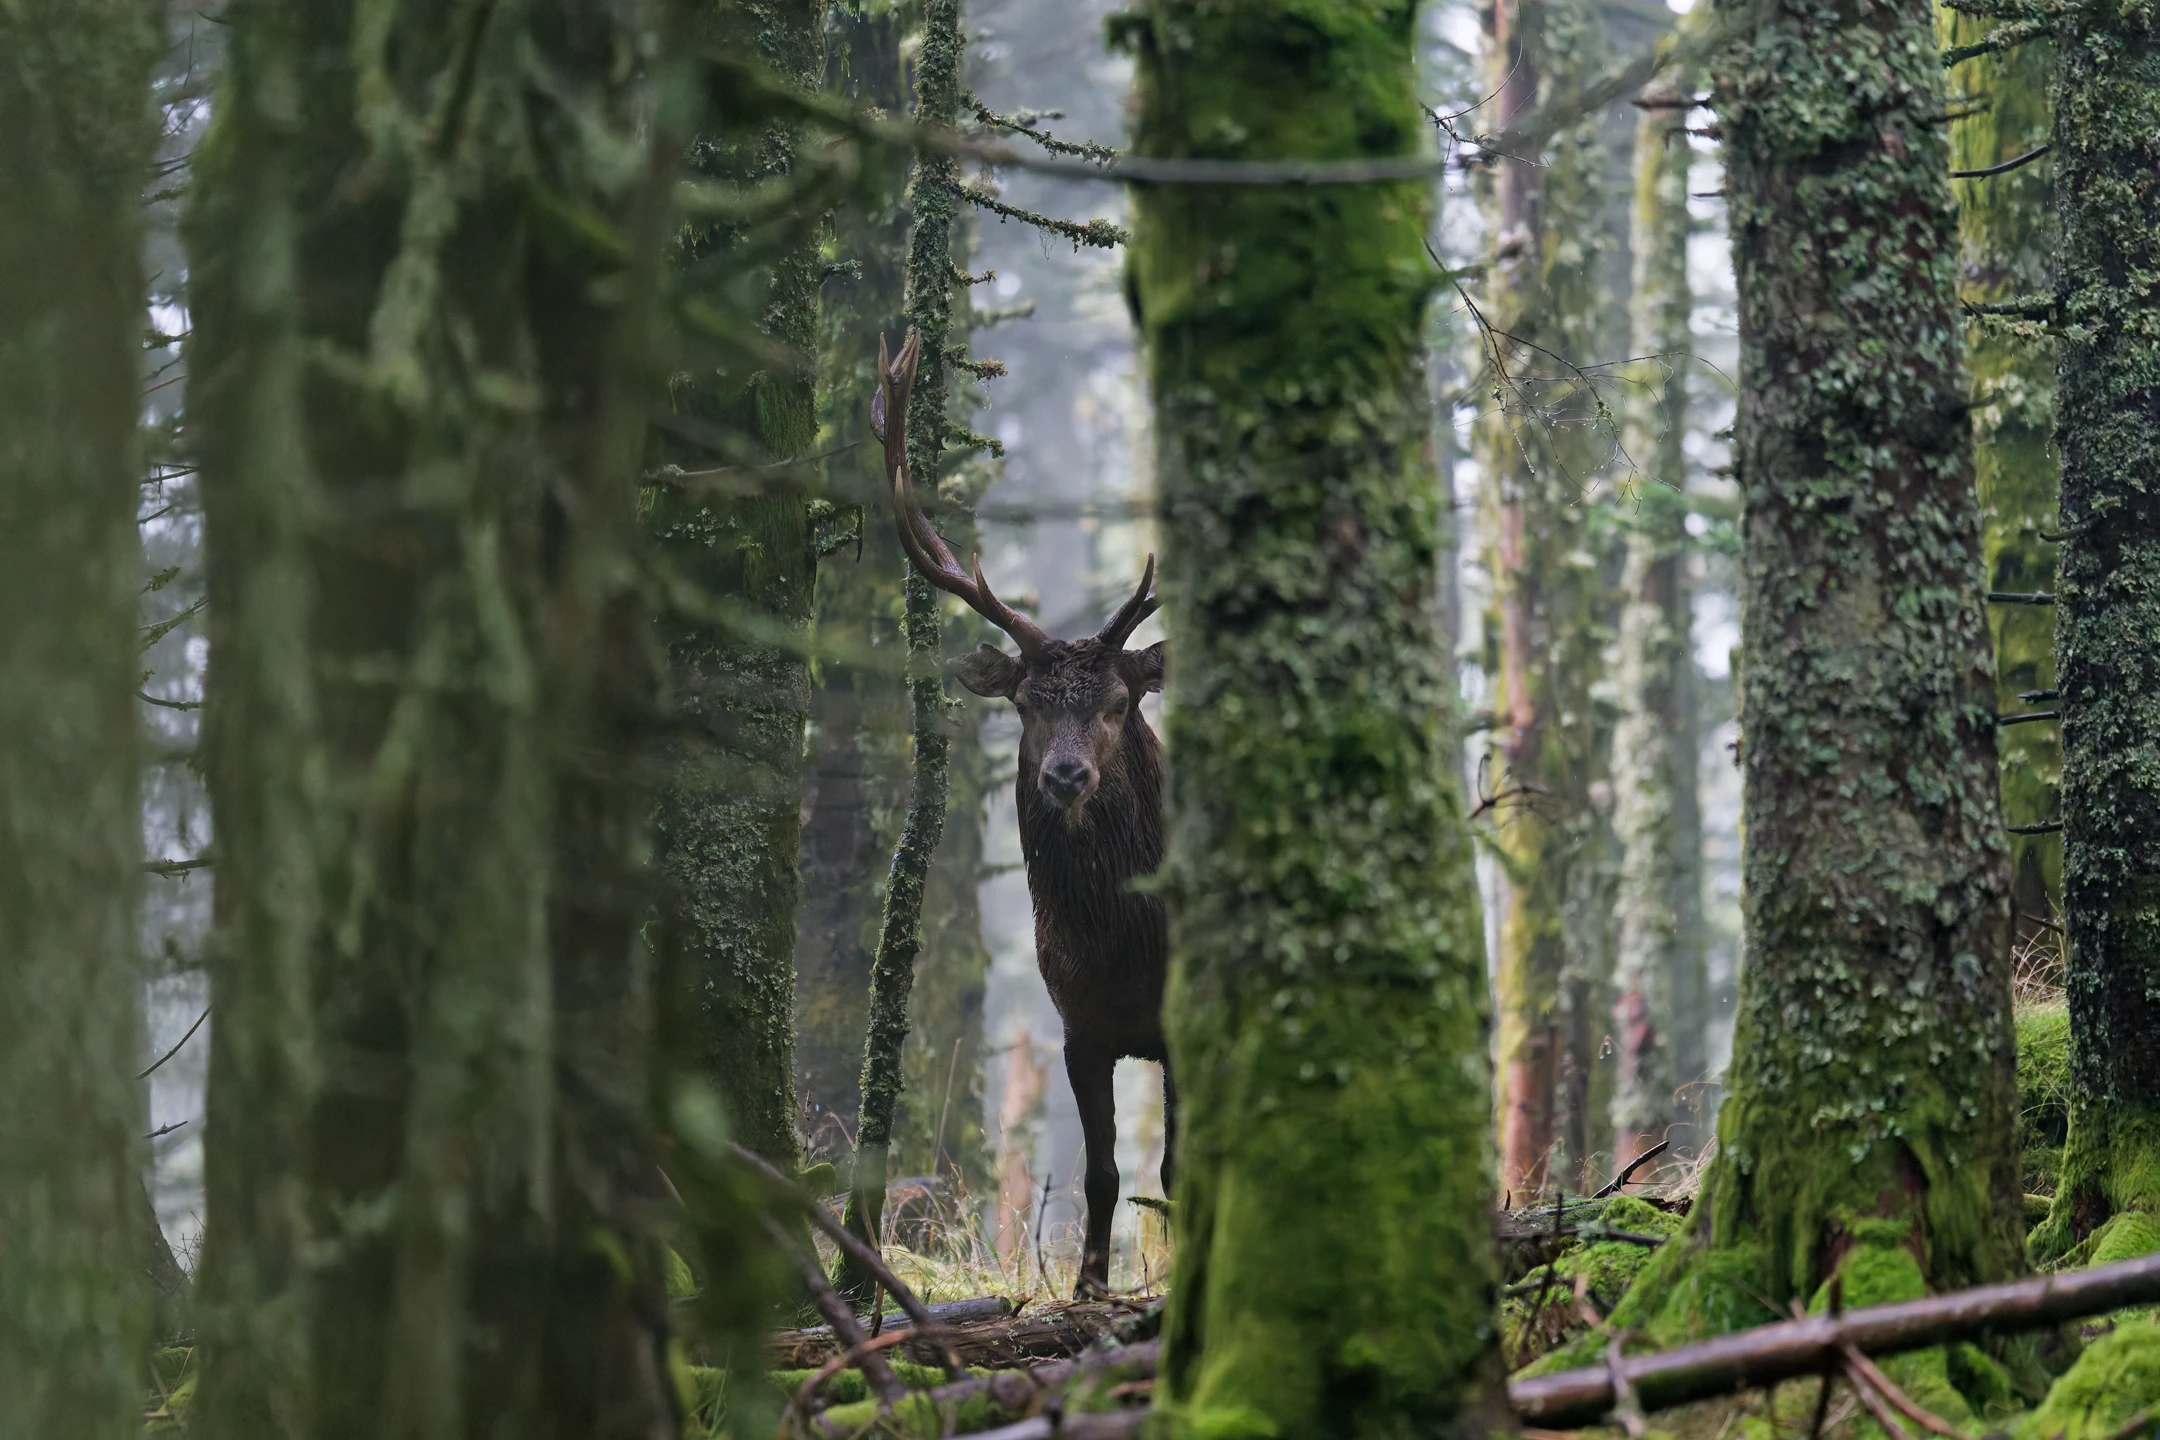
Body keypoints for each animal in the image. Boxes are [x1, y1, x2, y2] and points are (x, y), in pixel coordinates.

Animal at [871, 330, 1172, 1297]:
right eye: (1026, 704)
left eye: (1117, 703)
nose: (1066, 775)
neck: (1128, 950)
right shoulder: (1078, 1026)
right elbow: (1103, 1170)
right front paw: (1086, 1287)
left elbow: (1174, 1165)